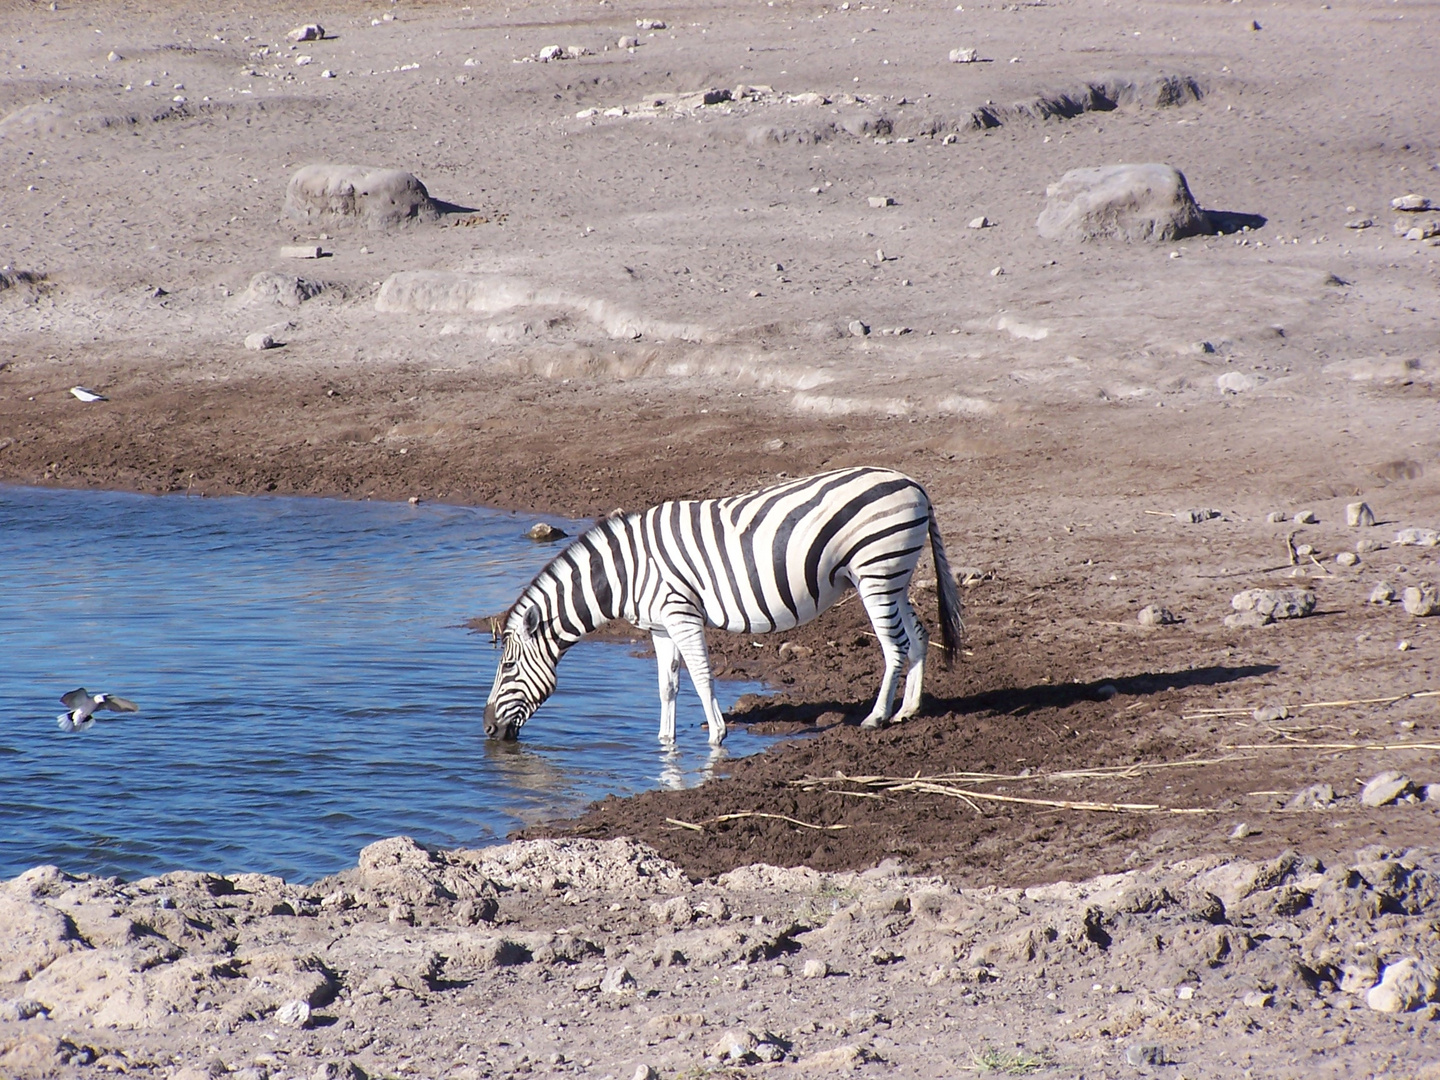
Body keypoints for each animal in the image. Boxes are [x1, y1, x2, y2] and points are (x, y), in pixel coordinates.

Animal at [483, 469, 967, 748]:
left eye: (507, 668)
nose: (486, 730)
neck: (625, 573)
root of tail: (914, 483)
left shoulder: (680, 613)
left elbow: (700, 676)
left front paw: (717, 735)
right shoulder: (660, 627)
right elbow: (668, 686)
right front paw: (664, 742)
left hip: (875, 572)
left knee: (894, 646)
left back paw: (877, 717)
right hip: (892, 575)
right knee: (918, 635)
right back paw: (909, 710)